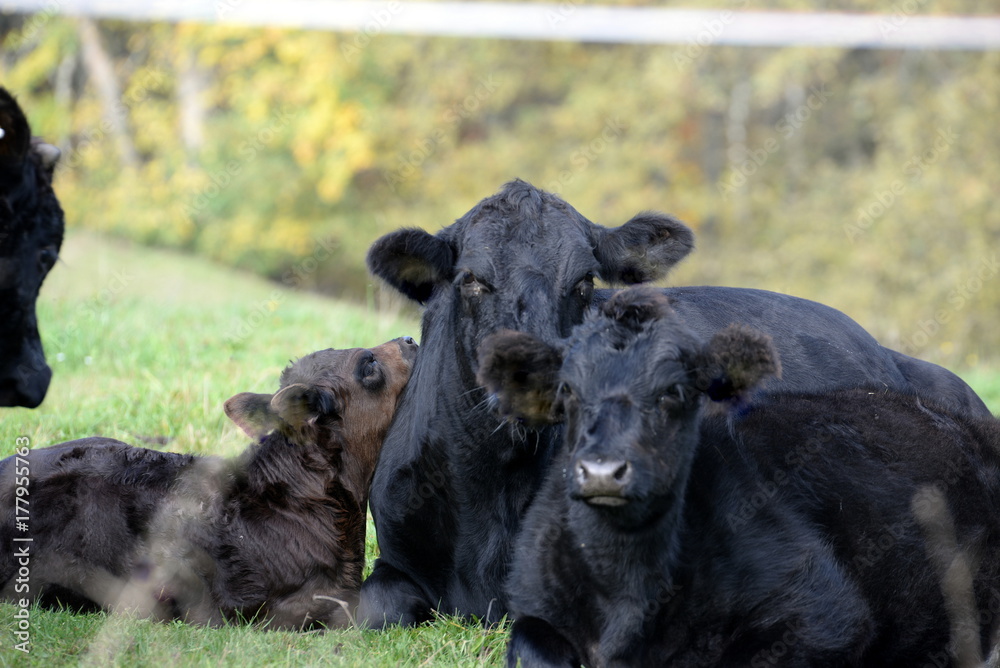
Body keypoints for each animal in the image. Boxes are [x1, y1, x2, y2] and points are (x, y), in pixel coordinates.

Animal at [476, 288, 1000, 668]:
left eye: (673, 392)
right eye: (567, 391)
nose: (604, 471)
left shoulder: (821, 611)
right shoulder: (534, 604)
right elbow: (530, 643)